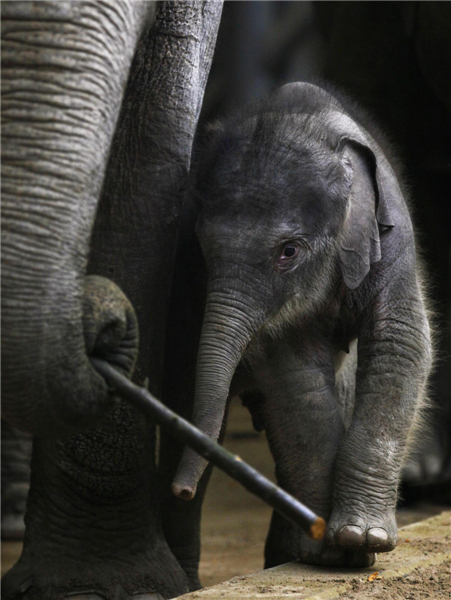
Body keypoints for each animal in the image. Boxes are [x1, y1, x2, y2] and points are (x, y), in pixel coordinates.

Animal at [171, 83, 432, 568]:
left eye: (288, 252)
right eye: (201, 248)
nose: (181, 490)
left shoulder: (394, 235)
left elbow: (400, 342)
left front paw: (360, 539)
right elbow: (296, 376)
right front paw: (327, 550)